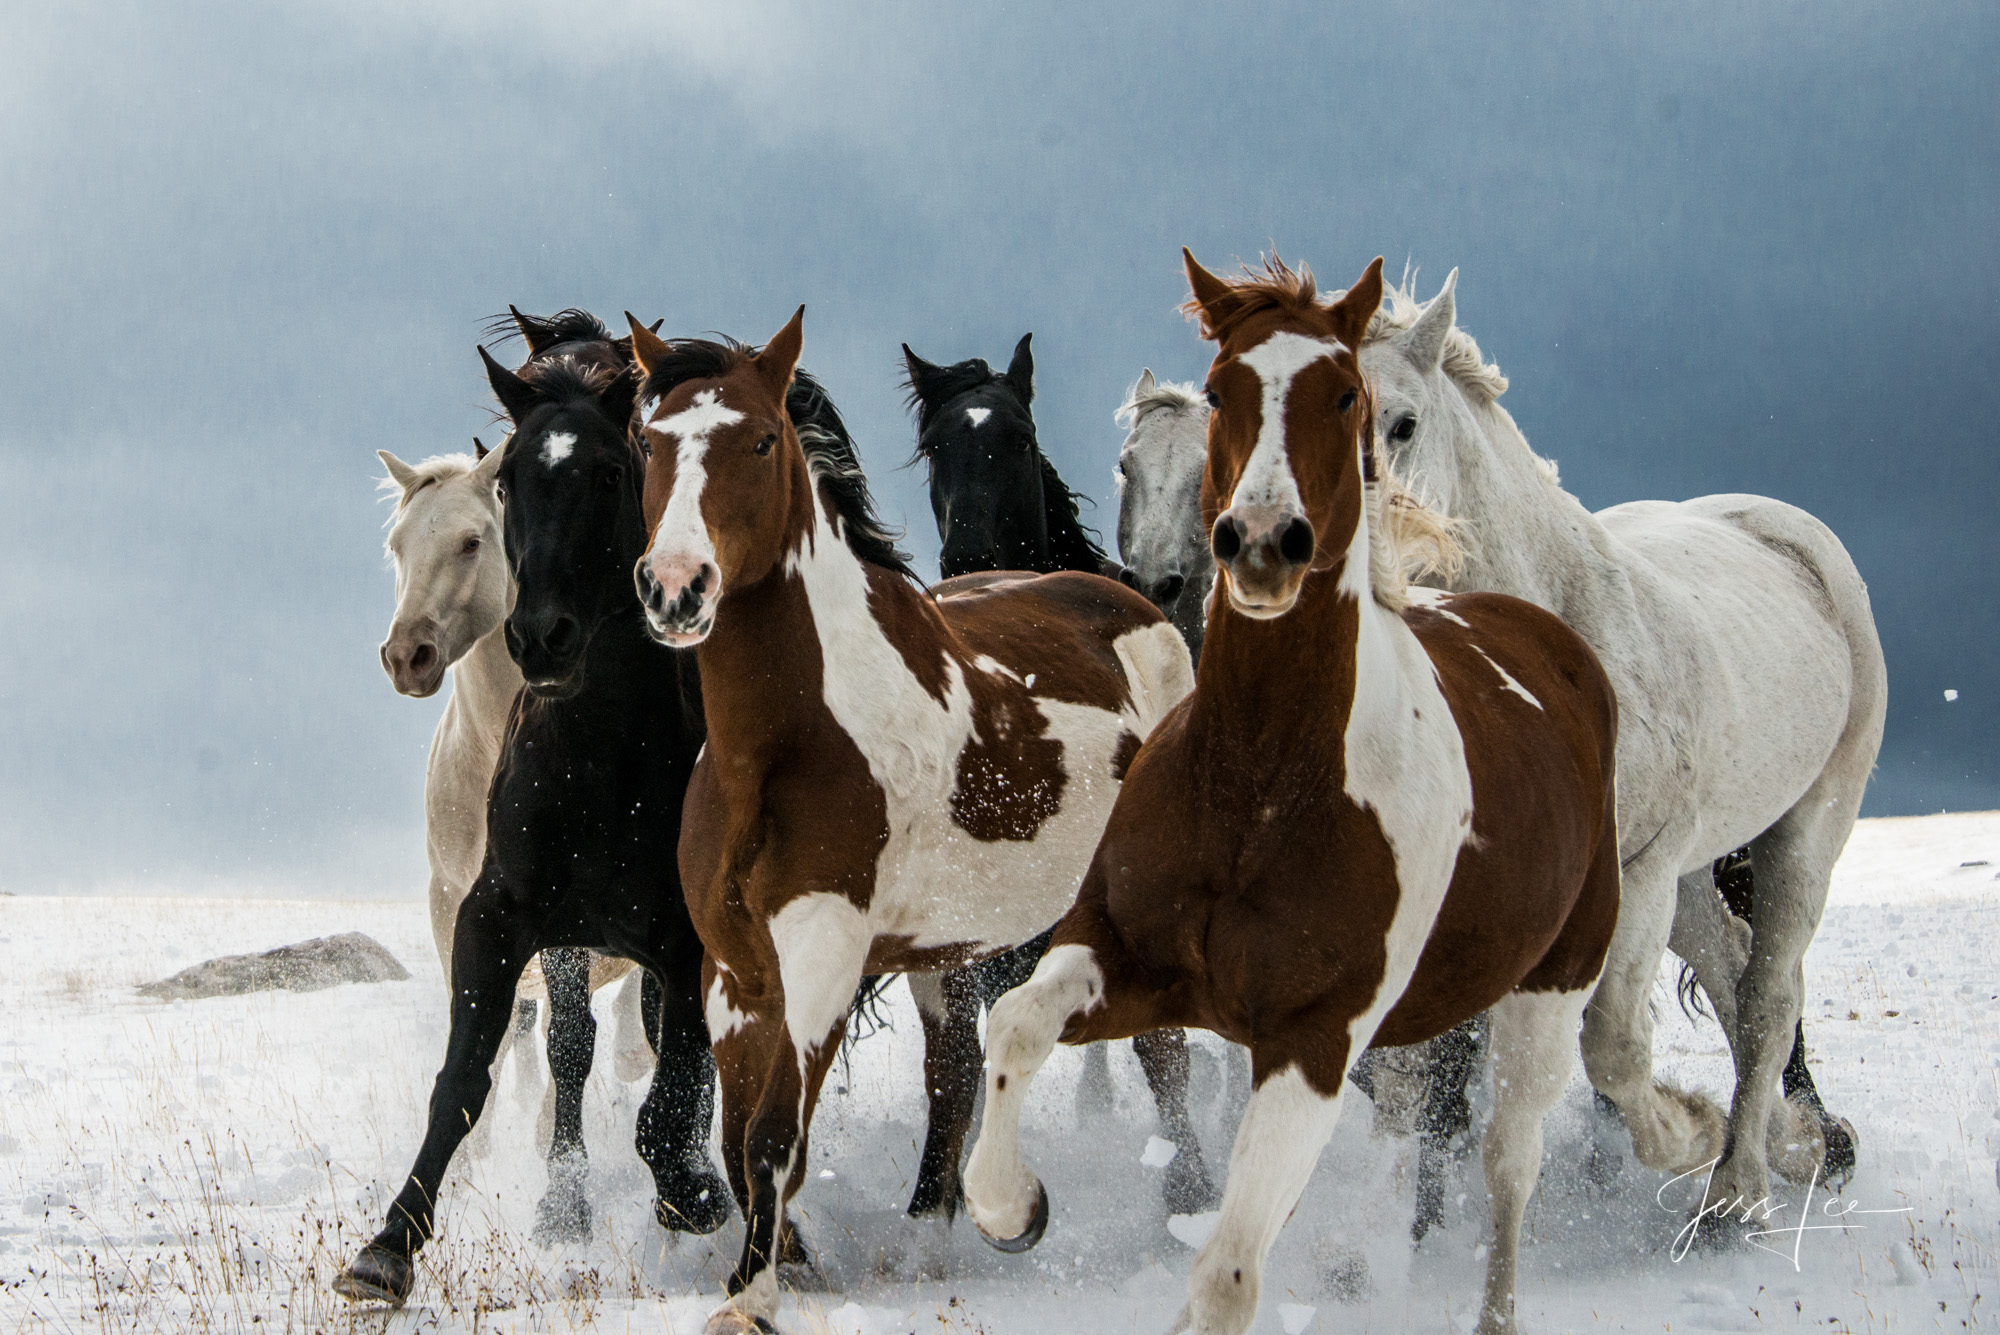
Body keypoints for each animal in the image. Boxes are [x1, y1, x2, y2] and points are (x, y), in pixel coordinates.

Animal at [376, 453, 656, 1143]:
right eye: (397, 546)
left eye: (472, 542)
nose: (406, 656)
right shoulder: (452, 905)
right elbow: (486, 1037)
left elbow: (571, 1042)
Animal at [624, 313, 1184, 1335]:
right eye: (651, 441)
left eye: (761, 441)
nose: (676, 587)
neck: (783, 746)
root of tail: (1135, 606)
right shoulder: (735, 974)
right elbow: (735, 1137)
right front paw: (781, 1266)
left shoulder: (825, 957)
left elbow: (773, 1138)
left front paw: (752, 1297)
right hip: (943, 947)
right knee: (956, 1070)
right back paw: (943, 1238)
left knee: (1160, 1058)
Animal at [956, 252, 1624, 1335]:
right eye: (1222, 386)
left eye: (1346, 394)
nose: (1263, 542)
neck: (1263, 783)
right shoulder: (1127, 958)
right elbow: (1014, 1021)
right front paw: (1012, 1207)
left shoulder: (1313, 1039)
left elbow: (1227, 1272)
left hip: (1548, 990)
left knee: (1503, 1162)